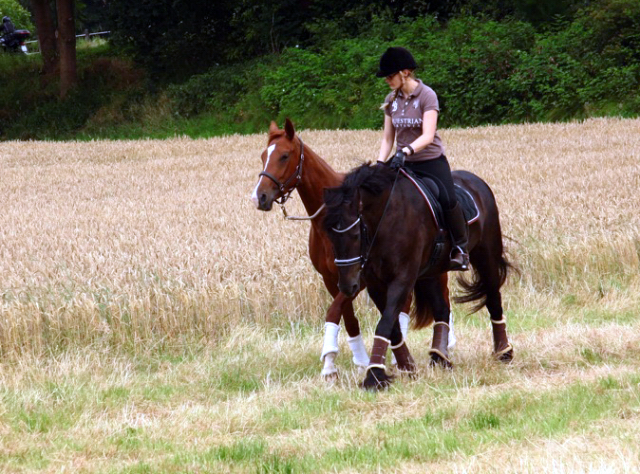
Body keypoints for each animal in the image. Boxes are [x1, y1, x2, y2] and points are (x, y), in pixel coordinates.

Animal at [249, 120, 450, 380]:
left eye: (284, 156)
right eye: (264, 156)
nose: (259, 197)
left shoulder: (358, 277)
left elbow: (334, 312)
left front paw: (330, 364)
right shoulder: (332, 279)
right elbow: (349, 319)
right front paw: (353, 362)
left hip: (436, 270)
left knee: (442, 300)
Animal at [324, 163, 516, 388]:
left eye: (355, 235)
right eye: (330, 236)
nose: (347, 286)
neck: (385, 219)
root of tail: (476, 181)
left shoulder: (403, 278)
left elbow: (385, 324)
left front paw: (375, 376)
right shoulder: (375, 283)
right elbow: (392, 327)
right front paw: (407, 367)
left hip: (486, 254)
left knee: (493, 297)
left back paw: (504, 351)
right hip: (431, 272)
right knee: (442, 309)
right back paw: (440, 357)